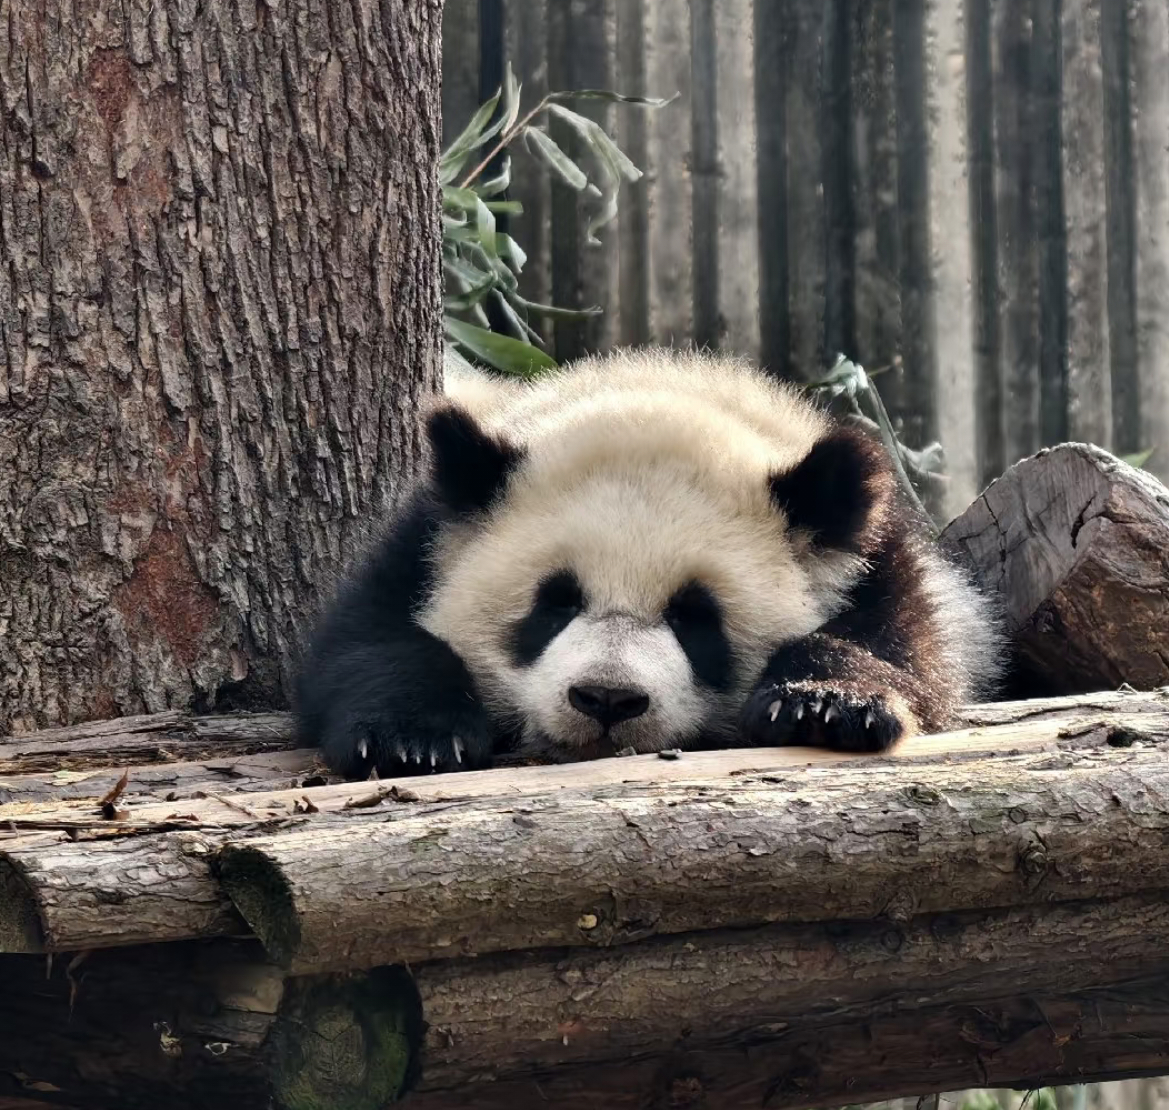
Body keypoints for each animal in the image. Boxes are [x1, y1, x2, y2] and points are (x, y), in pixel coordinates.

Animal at [294, 348, 1005, 780]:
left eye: (696, 617)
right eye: (556, 602)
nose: (607, 698)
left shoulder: (879, 560)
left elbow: (907, 650)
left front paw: (826, 704)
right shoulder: (426, 538)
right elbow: (367, 640)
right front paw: (412, 737)